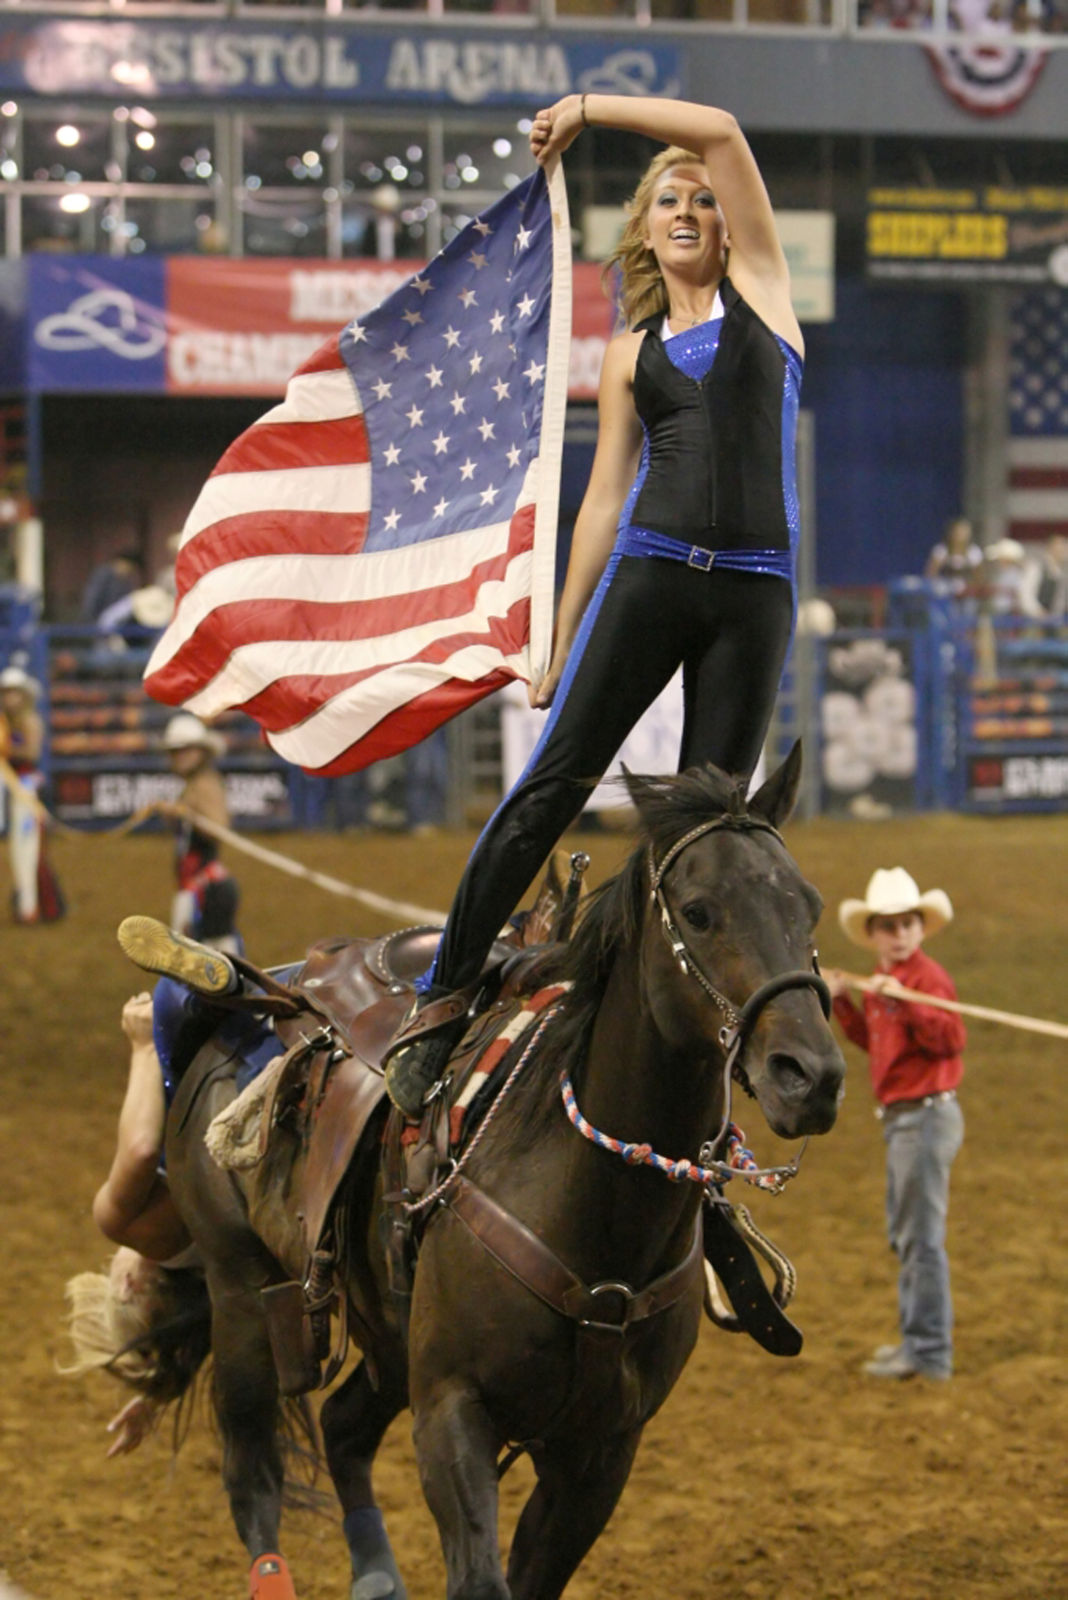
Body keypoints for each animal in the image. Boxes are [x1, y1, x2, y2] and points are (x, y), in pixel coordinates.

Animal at [167, 748, 844, 1600]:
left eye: (809, 907)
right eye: (697, 912)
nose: (810, 1075)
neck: (599, 1213)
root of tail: (266, 991)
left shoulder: (602, 1452)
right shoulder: (451, 1412)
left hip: (387, 1336)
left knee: (344, 1428)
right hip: (242, 1294)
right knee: (252, 1472)